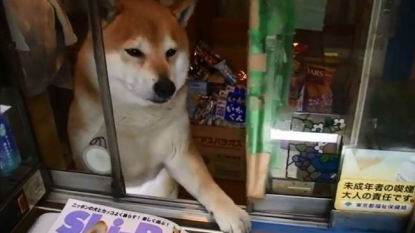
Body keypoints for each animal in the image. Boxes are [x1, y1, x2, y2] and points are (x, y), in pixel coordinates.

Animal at [68, 0, 250, 233]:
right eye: (134, 51)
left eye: (170, 52)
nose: (166, 87)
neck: (137, 118)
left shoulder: (179, 151)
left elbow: (205, 183)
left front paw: (230, 211)